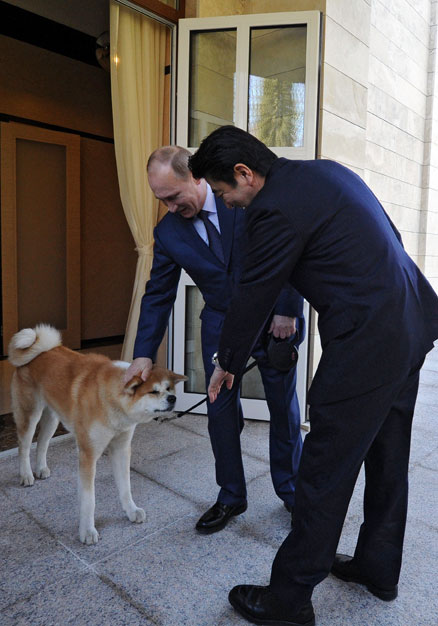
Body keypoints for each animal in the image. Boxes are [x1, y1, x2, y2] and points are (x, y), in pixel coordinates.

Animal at [8, 324, 186, 544]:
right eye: (153, 391)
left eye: (169, 388)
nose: (172, 398)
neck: (111, 400)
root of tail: (40, 347)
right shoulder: (88, 454)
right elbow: (89, 500)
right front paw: (87, 531)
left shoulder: (121, 448)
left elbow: (125, 487)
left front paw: (131, 510)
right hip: (30, 413)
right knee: (24, 446)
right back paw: (26, 474)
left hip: (52, 417)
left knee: (42, 442)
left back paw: (40, 468)